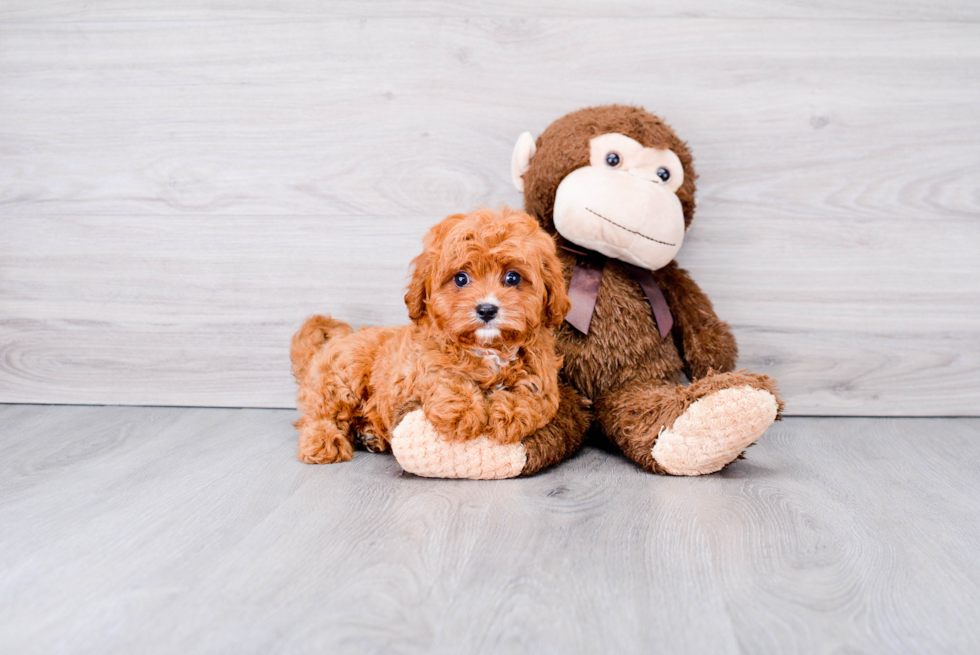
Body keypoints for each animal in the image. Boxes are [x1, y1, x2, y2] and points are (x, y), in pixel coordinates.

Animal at [288, 208, 572, 464]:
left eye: (513, 278)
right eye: (461, 279)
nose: (487, 309)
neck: (488, 348)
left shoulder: (542, 378)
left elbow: (532, 395)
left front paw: (508, 414)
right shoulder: (417, 368)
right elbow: (444, 376)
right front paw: (463, 411)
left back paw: (370, 435)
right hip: (344, 373)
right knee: (319, 413)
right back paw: (323, 441)